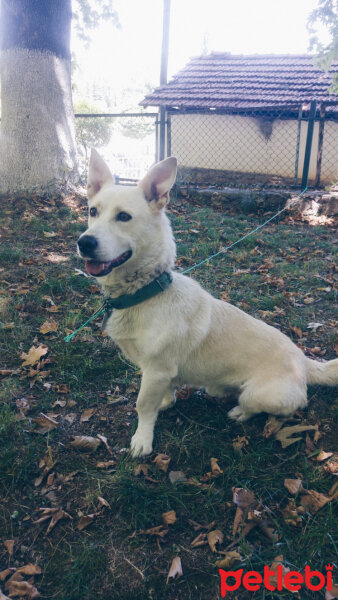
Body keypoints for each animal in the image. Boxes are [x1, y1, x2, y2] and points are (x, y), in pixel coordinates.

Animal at [77, 150, 338, 454]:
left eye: (124, 217)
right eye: (92, 211)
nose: (84, 243)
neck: (148, 292)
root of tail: (305, 362)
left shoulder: (155, 370)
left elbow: (143, 406)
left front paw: (143, 439)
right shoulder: (161, 373)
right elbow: (164, 395)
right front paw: (165, 403)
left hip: (260, 394)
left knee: (258, 407)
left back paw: (239, 412)